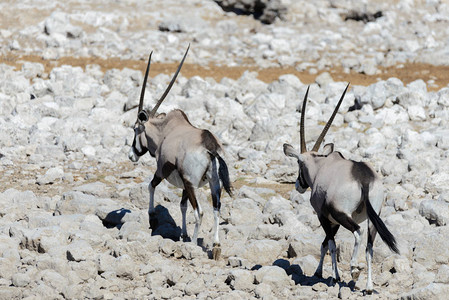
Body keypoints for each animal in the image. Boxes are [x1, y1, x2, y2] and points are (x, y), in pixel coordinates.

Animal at [126, 45, 231, 260]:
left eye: (135, 129)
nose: (132, 155)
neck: (165, 131)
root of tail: (209, 146)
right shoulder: (183, 184)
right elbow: (182, 206)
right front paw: (183, 233)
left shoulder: (161, 171)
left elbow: (150, 186)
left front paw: (152, 218)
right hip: (214, 184)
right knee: (216, 208)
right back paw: (216, 246)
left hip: (192, 184)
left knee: (199, 212)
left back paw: (193, 245)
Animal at [284, 84, 400, 292]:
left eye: (298, 163)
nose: (298, 185)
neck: (320, 166)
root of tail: (363, 177)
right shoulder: (333, 221)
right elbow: (325, 245)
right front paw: (320, 273)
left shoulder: (324, 216)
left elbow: (330, 245)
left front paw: (334, 277)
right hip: (373, 218)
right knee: (369, 247)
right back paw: (368, 286)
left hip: (343, 215)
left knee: (358, 233)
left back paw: (354, 268)